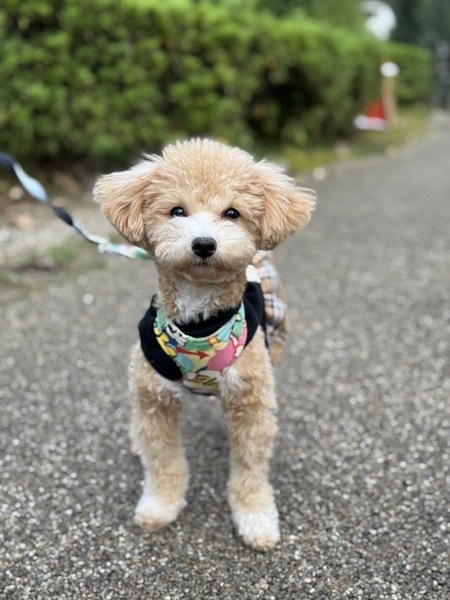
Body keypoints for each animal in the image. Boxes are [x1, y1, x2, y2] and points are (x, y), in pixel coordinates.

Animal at [94, 139, 315, 551]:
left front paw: (256, 519)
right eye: (177, 211)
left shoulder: (250, 398)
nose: (203, 243)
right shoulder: (154, 396)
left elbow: (250, 469)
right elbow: (164, 461)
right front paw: (159, 506)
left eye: (232, 213)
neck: (200, 323)